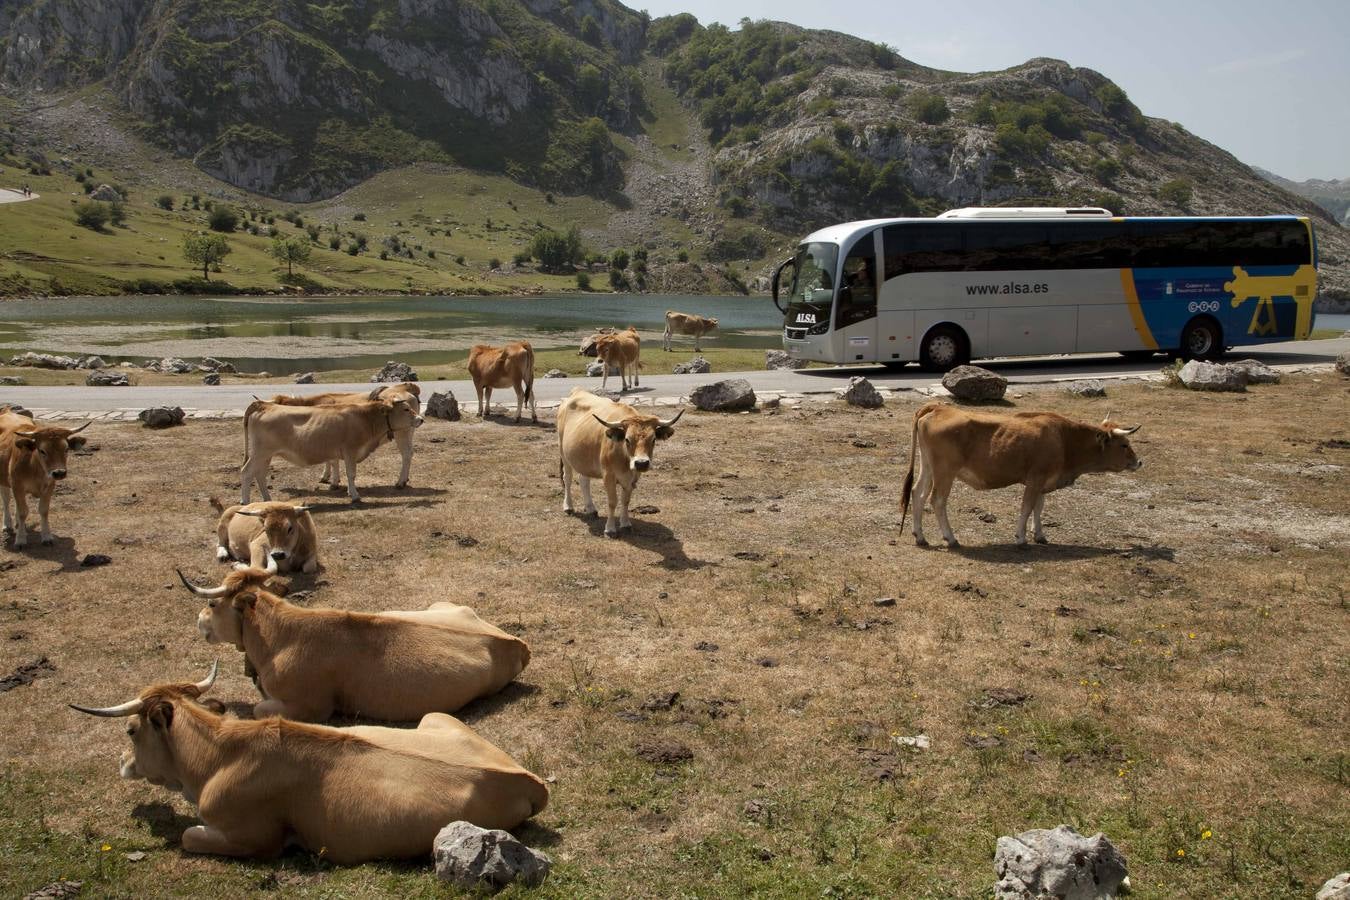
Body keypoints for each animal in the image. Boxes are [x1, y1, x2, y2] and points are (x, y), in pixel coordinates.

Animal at [0, 407, 88, 550]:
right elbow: (23, 512)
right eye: (42, 450)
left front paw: (47, 537)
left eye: (66, 449)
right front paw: (20, 540)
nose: (59, 472)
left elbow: (43, 510)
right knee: (6, 499)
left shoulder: (50, 485)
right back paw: (7, 525)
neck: (35, 468)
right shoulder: (16, 484)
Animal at [71, 661, 548, 863]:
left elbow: (189, 834)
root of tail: (527, 778)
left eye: (130, 731)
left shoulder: (253, 838)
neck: (221, 756)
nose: (123, 763)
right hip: (435, 716)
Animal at [178, 558, 531, 723]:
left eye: (213, 604)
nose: (199, 621)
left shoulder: (308, 707)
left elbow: (258, 709)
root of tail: (512, 640)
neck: (279, 636)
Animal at [241, 396, 421, 507]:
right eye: (405, 409)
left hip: (266, 455)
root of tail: (265, 405)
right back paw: (245, 501)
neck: (365, 419)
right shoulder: (350, 450)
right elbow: (351, 474)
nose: (420, 419)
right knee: (246, 472)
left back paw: (267, 500)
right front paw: (354, 495)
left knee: (260, 475)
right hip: (260, 453)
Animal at [901, 402, 1144, 550]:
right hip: (945, 471)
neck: (1064, 439)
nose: (1139, 462)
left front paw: (1040, 535)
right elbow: (1027, 507)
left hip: (928, 466)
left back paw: (920, 536)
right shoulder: (1035, 478)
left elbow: (1039, 507)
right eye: (1124, 444)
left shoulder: (1044, 479)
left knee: (917, 493)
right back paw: (950, 538)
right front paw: (1021, 538)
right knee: (937, 500)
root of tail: (937, 408)